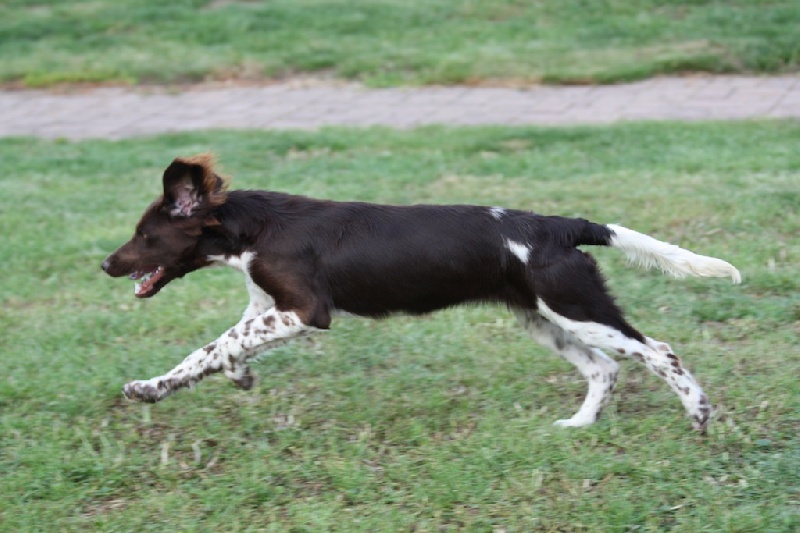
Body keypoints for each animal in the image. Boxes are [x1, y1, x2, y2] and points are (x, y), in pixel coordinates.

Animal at [103, 153, 740, 428]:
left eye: (144, 235)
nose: (107, 263)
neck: (254, 228)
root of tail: (560, 226)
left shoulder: (305, 310)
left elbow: (216, 346)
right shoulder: (265, 307)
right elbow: (216, 350)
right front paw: (160, 388)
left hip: (576, 305)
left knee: (659, 351)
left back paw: (699, 413)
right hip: (543, 319)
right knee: (604, 367)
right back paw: (579, 426)